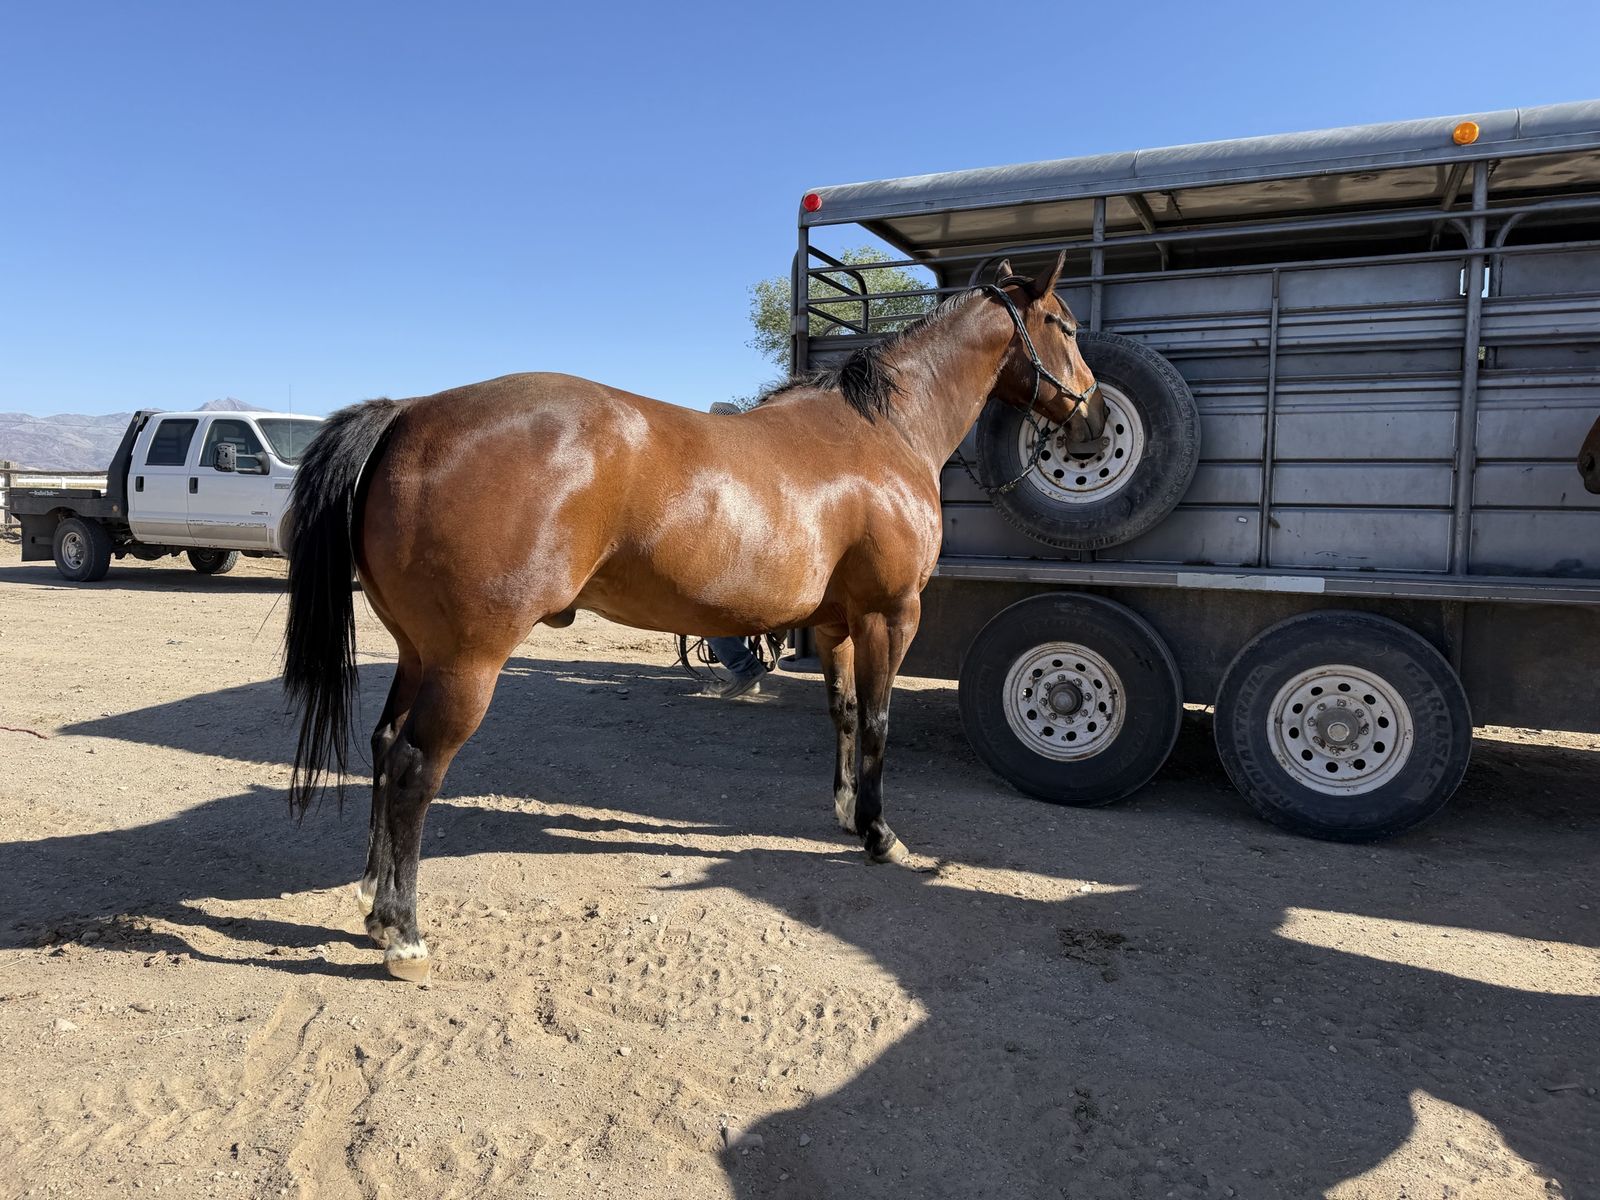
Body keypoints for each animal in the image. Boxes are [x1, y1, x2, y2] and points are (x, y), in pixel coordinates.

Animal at [283, 255, 1104, 982]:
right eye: (1063, 324)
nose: (1092, 415)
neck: (884, 434)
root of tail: (409, 413)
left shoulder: (837, 625)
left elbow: (842, 714)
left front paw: (845, 813)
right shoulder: (889, 615)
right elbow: (876, 722)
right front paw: (880, 835)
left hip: (417, 652)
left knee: (383, 746)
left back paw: (373, 899)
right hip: (466, 662)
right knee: (415, 766)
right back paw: (404, 935)